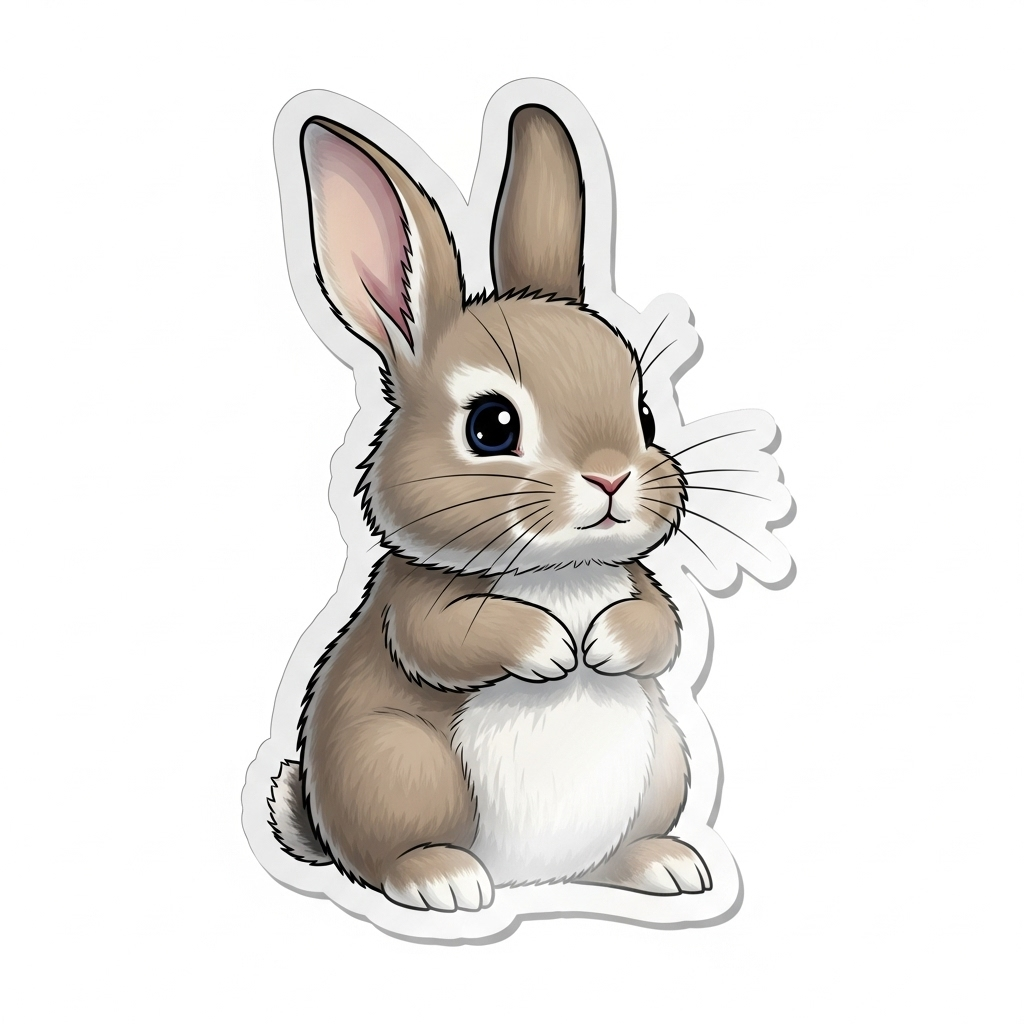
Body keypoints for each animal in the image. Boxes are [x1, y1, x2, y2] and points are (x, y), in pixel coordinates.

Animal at [267, 104, 712, 912]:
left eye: (646, 417)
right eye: (492, 426)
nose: (611, 478)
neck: (557, 571)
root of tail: (529, 880)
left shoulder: (640, 584)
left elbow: (662, 627)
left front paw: (604, 645)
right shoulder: (412, 605)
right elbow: (448, 638)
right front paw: (557, 649)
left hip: (663, 766)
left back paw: (664, 865)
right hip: (398, 762)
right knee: (387, 856)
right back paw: (442, 880)